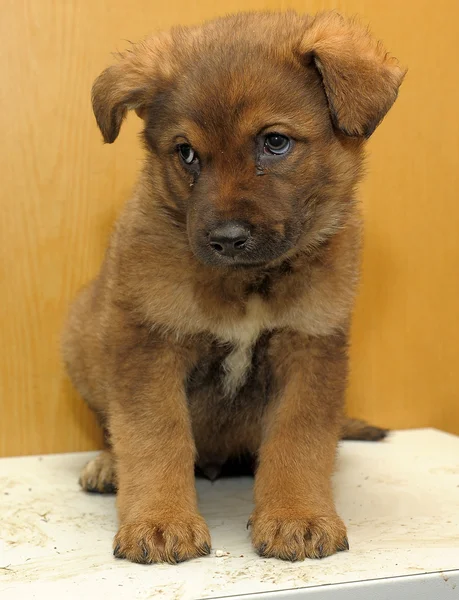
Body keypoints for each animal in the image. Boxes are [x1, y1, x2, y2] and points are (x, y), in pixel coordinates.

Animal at [62, 10, 406, 564]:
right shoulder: (150, 345)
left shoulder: (309, 348)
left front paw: (296, 515)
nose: (225, 239)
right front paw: (160, 521)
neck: (247, 285)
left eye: (274, 142)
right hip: (81, 339)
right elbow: (154, 438)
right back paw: (109, 465)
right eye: (186, 153)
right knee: (113, 429)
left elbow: (298, 441)